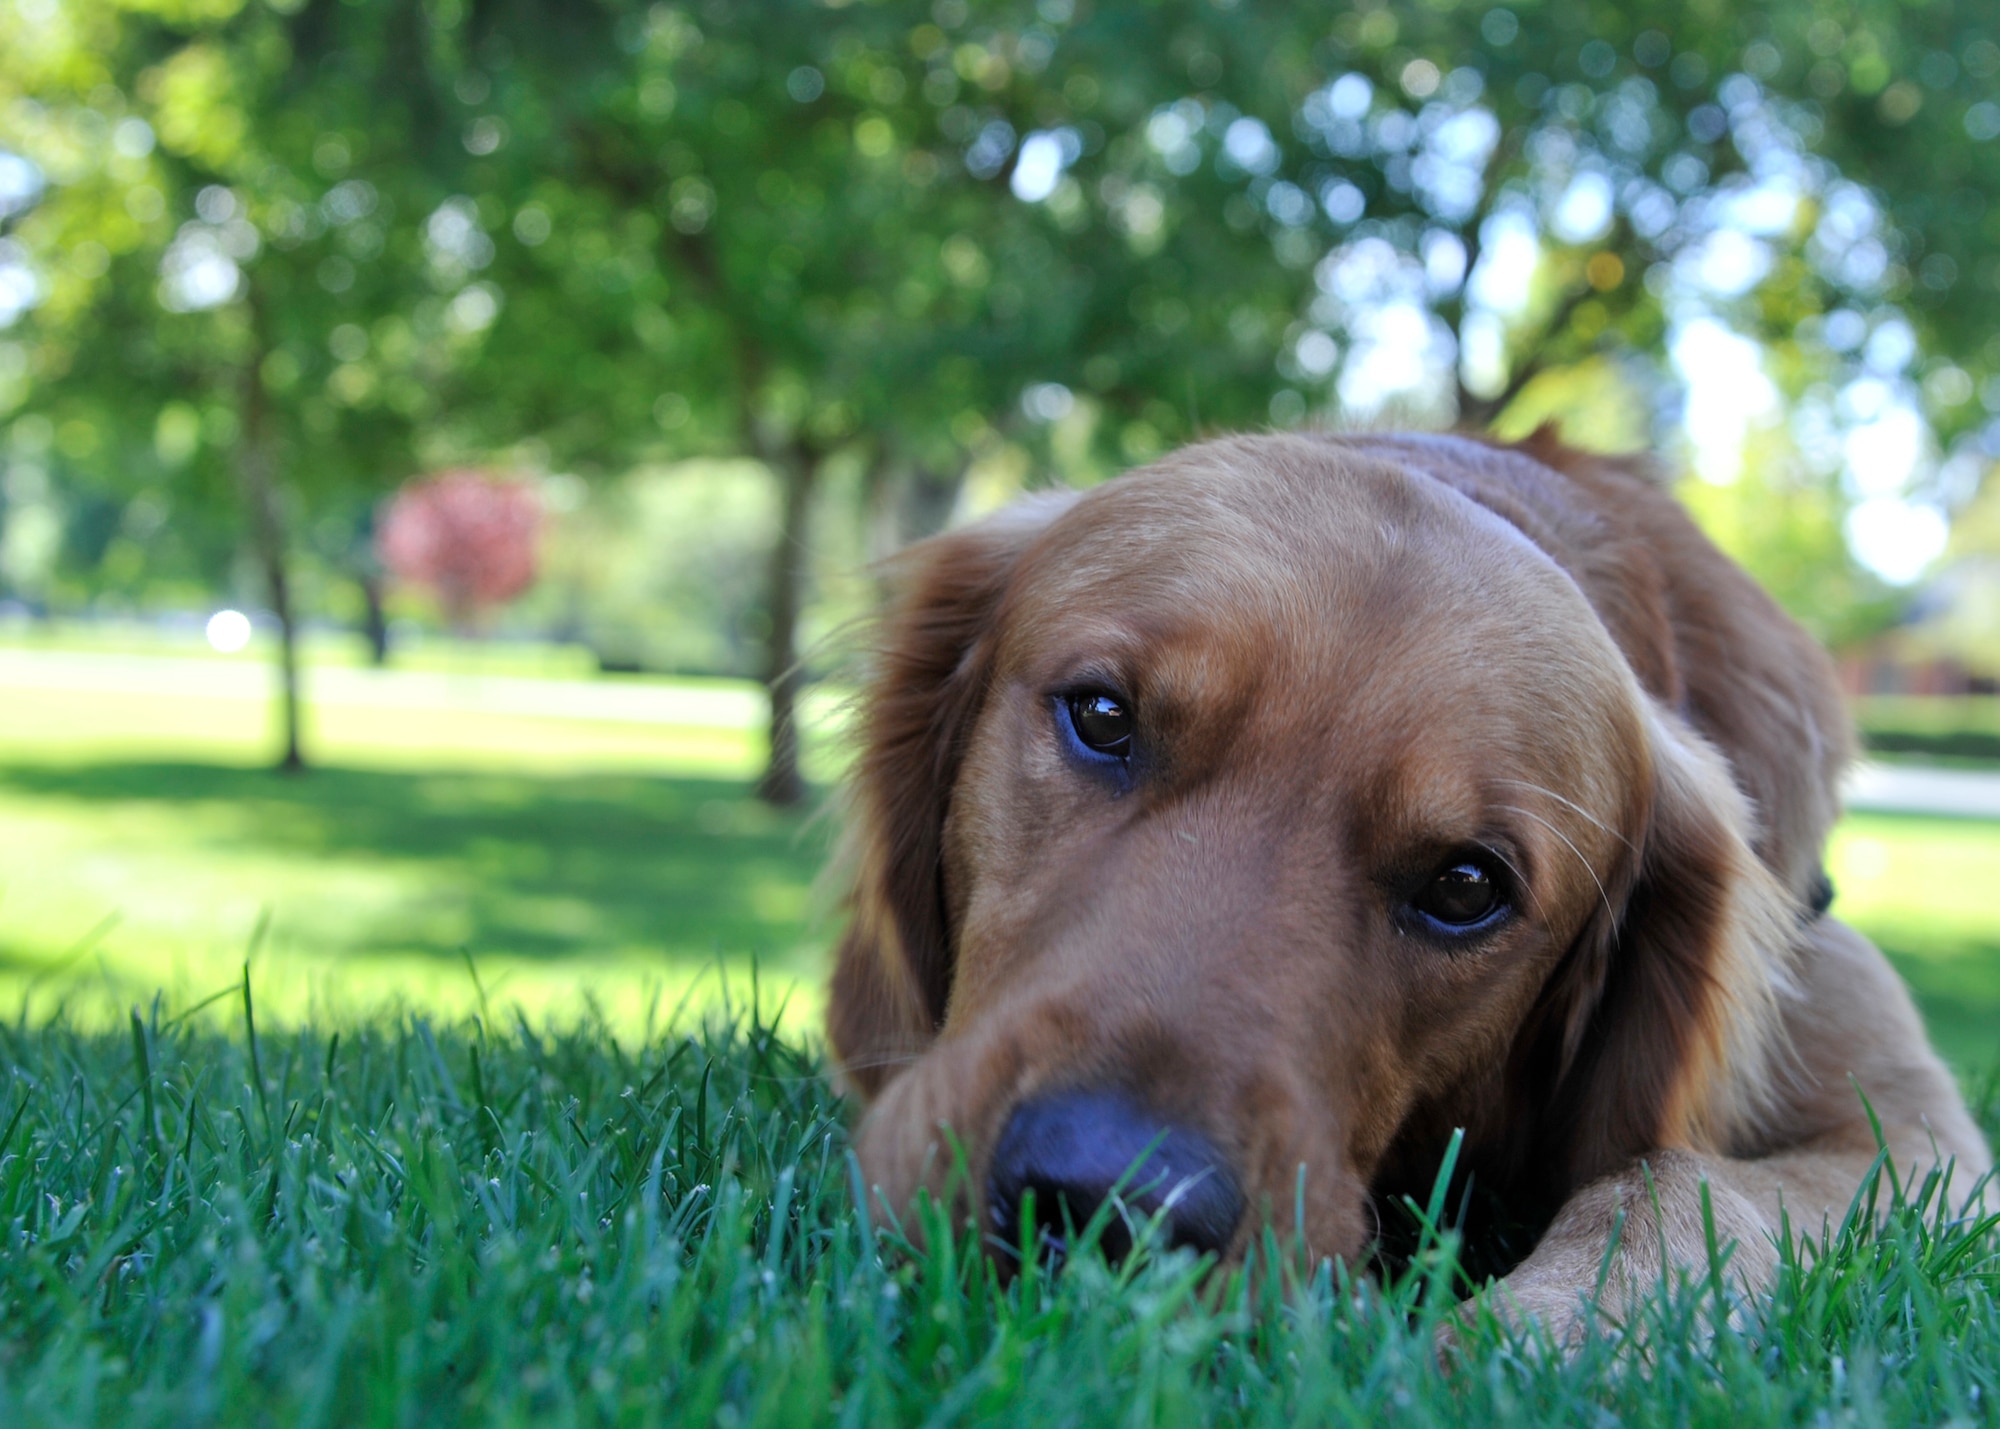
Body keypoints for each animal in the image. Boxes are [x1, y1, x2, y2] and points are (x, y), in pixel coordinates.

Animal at [824, 428, 1984, 1328]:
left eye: (1466, 886)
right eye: (1102, 717)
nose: (1106, 1199)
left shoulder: (1917, 1138)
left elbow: (1676, 1179)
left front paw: (1534, 1338)